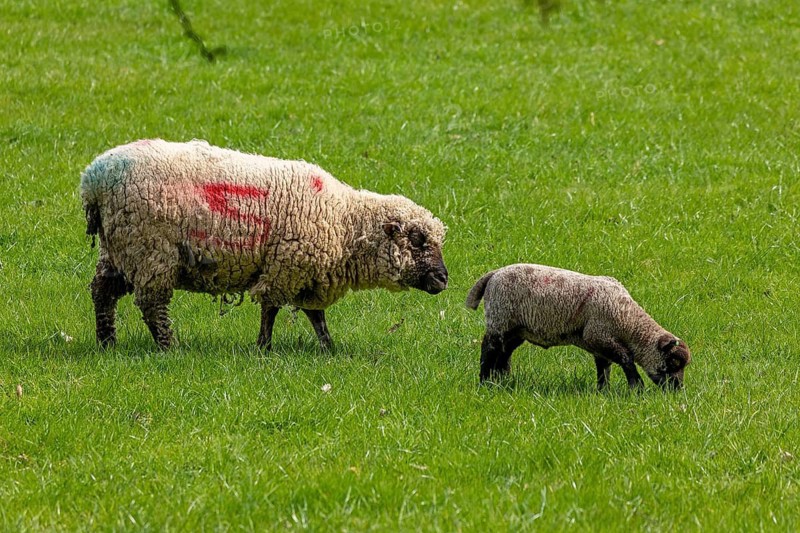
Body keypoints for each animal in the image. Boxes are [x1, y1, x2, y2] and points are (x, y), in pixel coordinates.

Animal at [81, 139, 448, 350]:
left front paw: (329, 348)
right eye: (418, 240)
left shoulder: (308, 275)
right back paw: (168, 346)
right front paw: (263, 348)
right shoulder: (288, 265)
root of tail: (93, 180)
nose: (444, 279)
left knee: (102, 291)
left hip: (119, 247)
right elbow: (271, 308)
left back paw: (107, 342)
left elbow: (316, 316)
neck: (345, 222)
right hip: (149, 247)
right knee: (151, 304)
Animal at [466, 264, 691, 390]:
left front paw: (603, 391)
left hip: (515, 329)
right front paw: (637, 388)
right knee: (489, 349)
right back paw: (484, 382)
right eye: (672, 362)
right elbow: (626, 358)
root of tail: (493, 274)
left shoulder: (598, 343)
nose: (677, 389)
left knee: (504, 353)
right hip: (499, 318)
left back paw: (500, 380)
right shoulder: (599, 335)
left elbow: (604, 367)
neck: (627, 320)